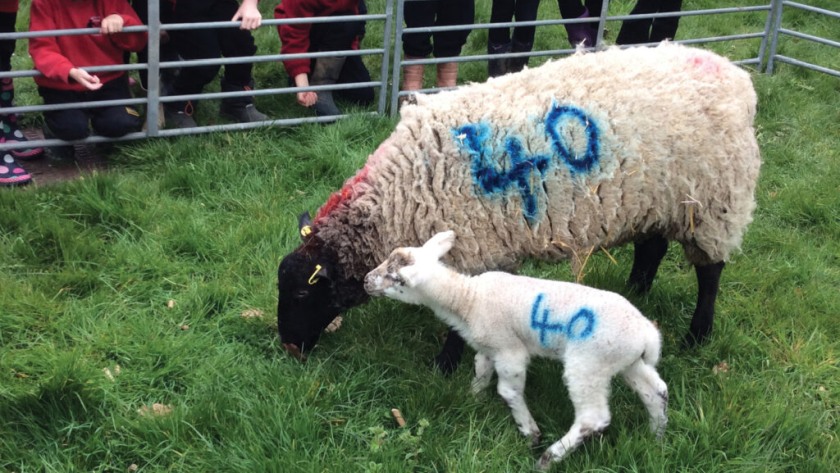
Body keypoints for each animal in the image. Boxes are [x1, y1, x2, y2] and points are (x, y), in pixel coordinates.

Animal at [276, 42, 761, 370]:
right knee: (652, 247)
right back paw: (636, 292)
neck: (396, 200)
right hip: (655, 197)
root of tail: (735, 75)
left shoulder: (469, 249)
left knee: (710, 272)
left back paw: (698, 335)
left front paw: (444, 366)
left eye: (301, 292)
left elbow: (458, 321)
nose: (288, 347)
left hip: (713, 202)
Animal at [364, 231, 669, 469]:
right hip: (626, 361)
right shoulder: (489, 346)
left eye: (396, 278)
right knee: (656, 390)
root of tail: (646, 333)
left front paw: (530, 431)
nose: (366, 280)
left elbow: (507, 391)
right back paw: (657, 436)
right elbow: (481, 371)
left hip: (589, 363)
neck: (467, 299)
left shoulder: (510, 351)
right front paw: (472, 398)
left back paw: (549, 457)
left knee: (593, 417)